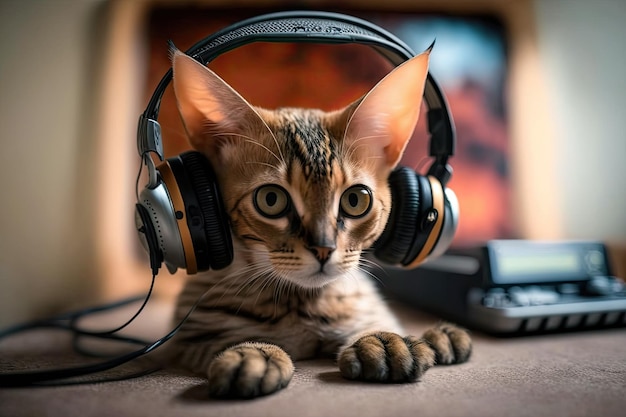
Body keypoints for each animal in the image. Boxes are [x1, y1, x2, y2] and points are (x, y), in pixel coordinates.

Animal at [163, 44, 470, 396]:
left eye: (355, 200)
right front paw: (254, 353)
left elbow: (376, 323)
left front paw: (381, 340)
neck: (303, 302)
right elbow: (223, 338)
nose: (323, 249)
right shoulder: (190, 335)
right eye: (271, 199)